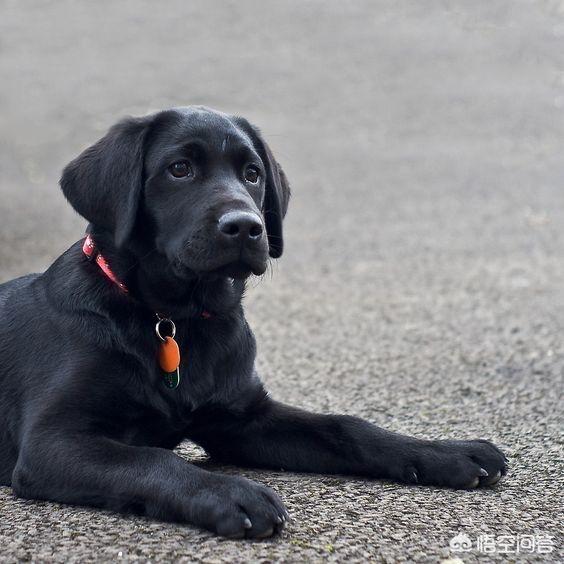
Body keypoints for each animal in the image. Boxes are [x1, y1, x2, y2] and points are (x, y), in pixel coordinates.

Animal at [0, 107, 508, 540]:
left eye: (252, 174)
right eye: (179, 169)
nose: (245, 226)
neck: (177, 321)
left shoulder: (241, 419)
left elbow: (348, 427)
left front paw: (446, 452)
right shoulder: (53, 443)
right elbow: (152, 460)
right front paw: (233, 495)